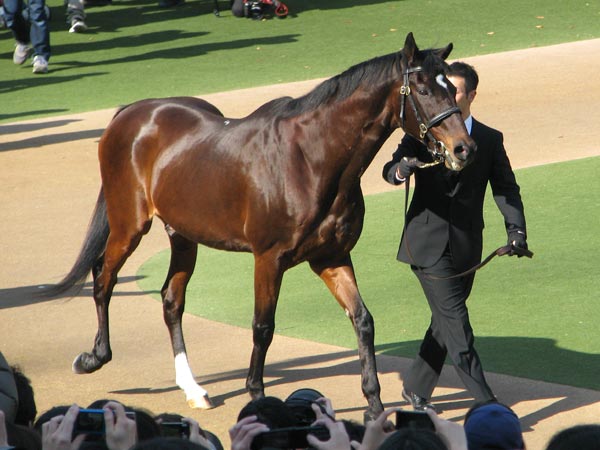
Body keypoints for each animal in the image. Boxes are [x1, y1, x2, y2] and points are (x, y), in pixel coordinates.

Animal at [50, 32, 474, 422]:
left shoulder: (331, 257)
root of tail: (130, 113)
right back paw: (94, 357)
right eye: (423, 89)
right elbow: (262, 326)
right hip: (129, 224)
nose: (463, 148)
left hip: (183, 234)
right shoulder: (268, 259)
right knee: (103, 276)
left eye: (451, 87)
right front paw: (256, 394)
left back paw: (193, 389)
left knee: (171, 300)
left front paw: (374, 405)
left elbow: (363, 321)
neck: (310, 159)